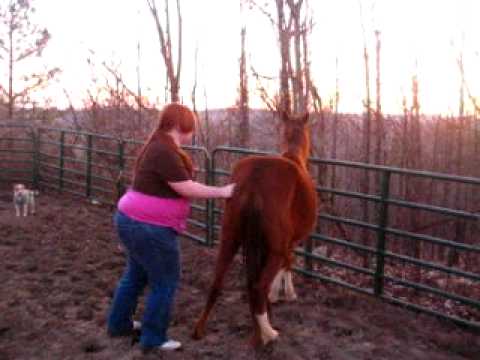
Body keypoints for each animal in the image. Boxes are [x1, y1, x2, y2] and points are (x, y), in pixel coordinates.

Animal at [191, 112, 318, 346]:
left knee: (217, 282)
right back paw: (268, 334)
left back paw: (200, 330)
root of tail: (254, 181)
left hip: (229, 239)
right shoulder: (289, 242)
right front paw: (285, 294)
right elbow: (288, 262)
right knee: (259, 286)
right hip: (273, 248)